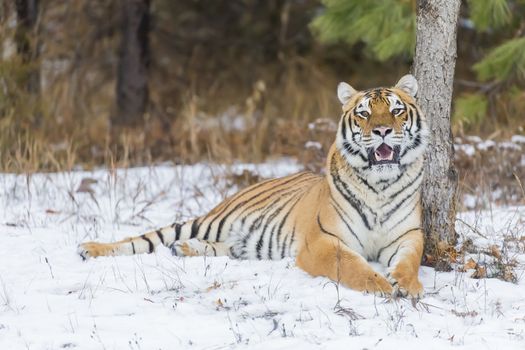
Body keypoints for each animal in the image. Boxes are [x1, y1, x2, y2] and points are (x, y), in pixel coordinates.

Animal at [80, 74, 428, 298]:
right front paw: (380, 284)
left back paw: (185, 249)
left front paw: (406, 285)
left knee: (223, 248)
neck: (380, 185)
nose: (382, 130)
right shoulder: (322, 243)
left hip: (242, 241)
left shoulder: (408, 235)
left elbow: (410, 262)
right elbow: (352, 266)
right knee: (143, 239)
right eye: (364, 113)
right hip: (210, 221)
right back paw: (91, 248)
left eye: (396, 110)